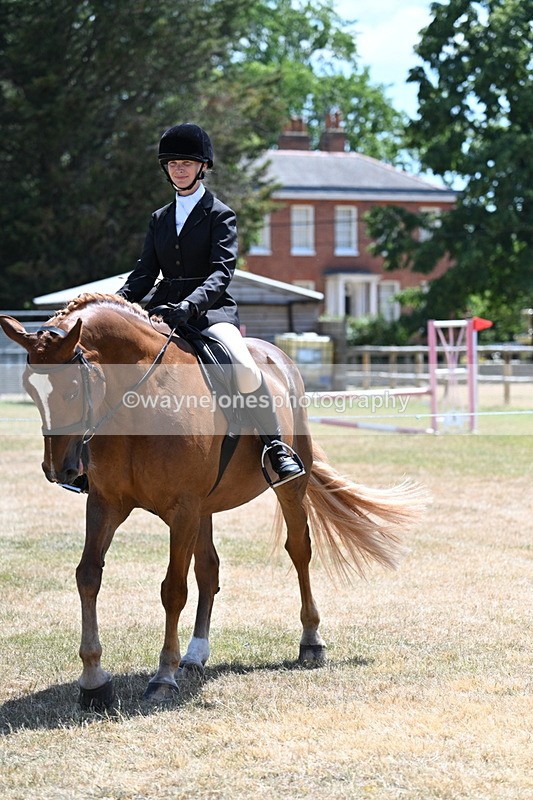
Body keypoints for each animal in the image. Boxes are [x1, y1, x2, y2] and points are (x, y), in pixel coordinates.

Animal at [0, 294, 425, 709]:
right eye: (30, 390)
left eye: (72, 390)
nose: (60, 470)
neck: (141, 397)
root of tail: (280, 358)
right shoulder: (107, 503)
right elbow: (89, 575)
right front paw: (94, 681)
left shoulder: (182, 509)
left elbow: (173, 589)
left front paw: (163, 677)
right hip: (203, 510)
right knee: (209, 569)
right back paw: (195, 654)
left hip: (286, 489)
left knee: (299, 550)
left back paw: (311, 643)